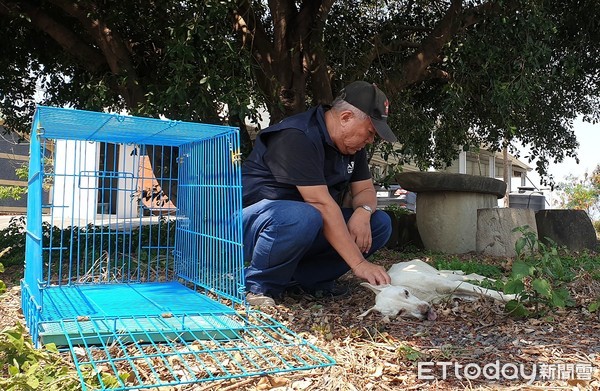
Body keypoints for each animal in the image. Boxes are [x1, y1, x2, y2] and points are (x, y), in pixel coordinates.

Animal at [358, 258, 516, 320]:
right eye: (400, 312)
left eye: (405, 293)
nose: (425, 310)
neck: (418, 293)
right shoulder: (454, 293)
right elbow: (480, 294)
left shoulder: (450, 285)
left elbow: (491, 293)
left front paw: (512, 297)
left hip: (442, 275)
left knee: (468, 275)